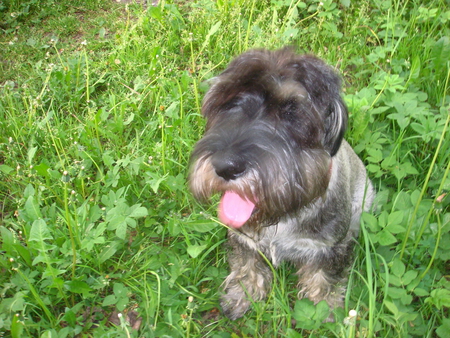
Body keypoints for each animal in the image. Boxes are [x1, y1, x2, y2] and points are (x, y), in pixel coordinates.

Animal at [188, 47, 374, 320]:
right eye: (227, 102)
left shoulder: (328, 248)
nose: (225, 166)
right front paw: (243, 293)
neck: (281, 216)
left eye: (290, 111)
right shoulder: (244, 238)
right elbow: (247, 265)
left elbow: (324, 277)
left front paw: (325, 309)